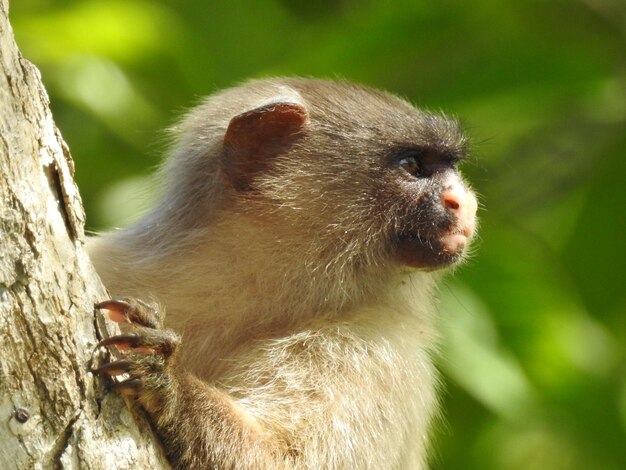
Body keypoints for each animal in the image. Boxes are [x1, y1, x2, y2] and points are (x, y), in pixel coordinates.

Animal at [86, 79, 478, 468]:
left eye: (450, 168)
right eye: (414, 165)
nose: (464, 202)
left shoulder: (378, 349)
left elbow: (283, 457)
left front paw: (170, 381)